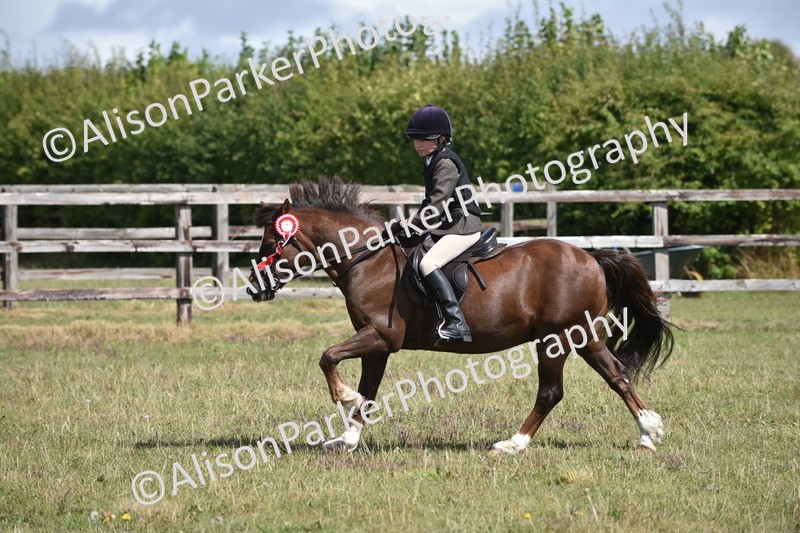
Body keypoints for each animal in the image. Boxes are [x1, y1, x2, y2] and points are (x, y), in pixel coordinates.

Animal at [249, 177, 675, 454]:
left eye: (271, 244)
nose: (254, 288)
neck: (368, 260)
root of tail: (591, 257)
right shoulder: (377, 344)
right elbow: (368, 392)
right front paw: (347, 440)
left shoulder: (381, 336)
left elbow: (328, 358)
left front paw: (342, 395)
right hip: (583, 336)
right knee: (617, 375)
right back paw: (649, 432)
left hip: (557, 339)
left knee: (552, 391)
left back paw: (513, 444)